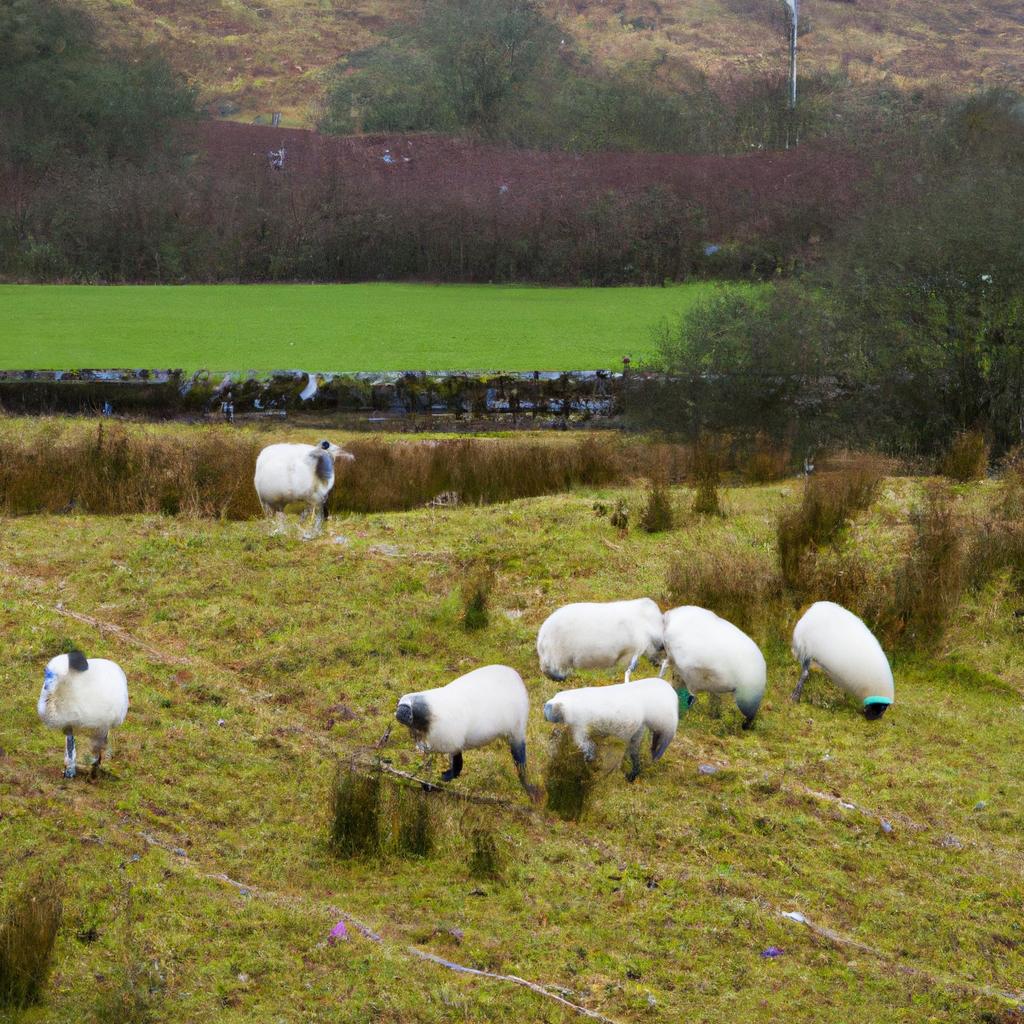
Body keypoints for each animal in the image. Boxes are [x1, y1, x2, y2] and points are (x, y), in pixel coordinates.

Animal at [391, 663, 536, 798]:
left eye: (407, 714)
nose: (400, 714)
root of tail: (514, 674)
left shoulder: (451, 741)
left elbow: (455, 764)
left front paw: (436, 780)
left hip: (517, 730)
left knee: (520, 760)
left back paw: (529, 788)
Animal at [540, 679, 675, 782]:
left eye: (549, 710)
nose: (545, 713)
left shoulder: (580, 724)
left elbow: (584, 742)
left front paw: (589, 756)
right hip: (636, 734)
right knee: (634, 754)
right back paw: (633, 773)